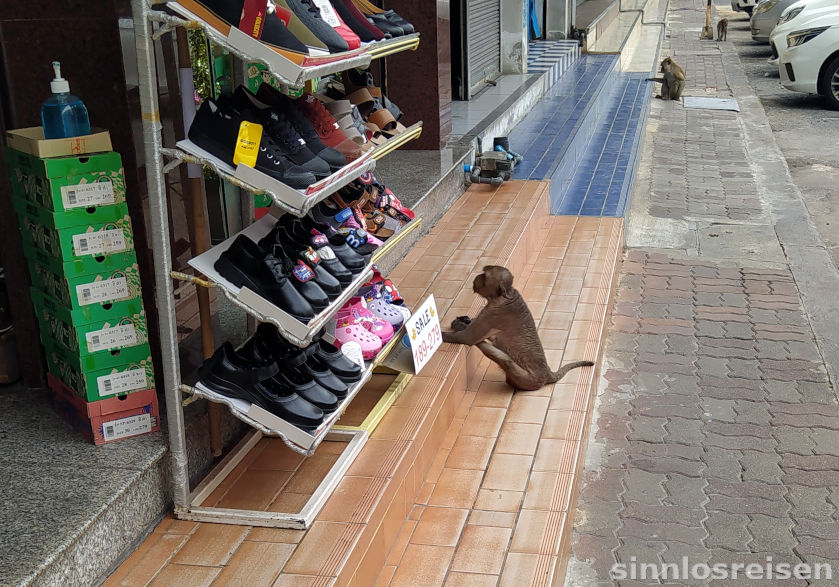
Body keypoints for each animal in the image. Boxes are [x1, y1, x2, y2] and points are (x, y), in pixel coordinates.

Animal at [441, 266, 594, 391]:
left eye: (485, 275)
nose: (477, 276)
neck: (505, 295)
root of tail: (548, 373)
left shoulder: (492, 314)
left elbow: (468, 337)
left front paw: (442, 333)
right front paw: (463, 322)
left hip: (528, 379)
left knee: (499, 356)